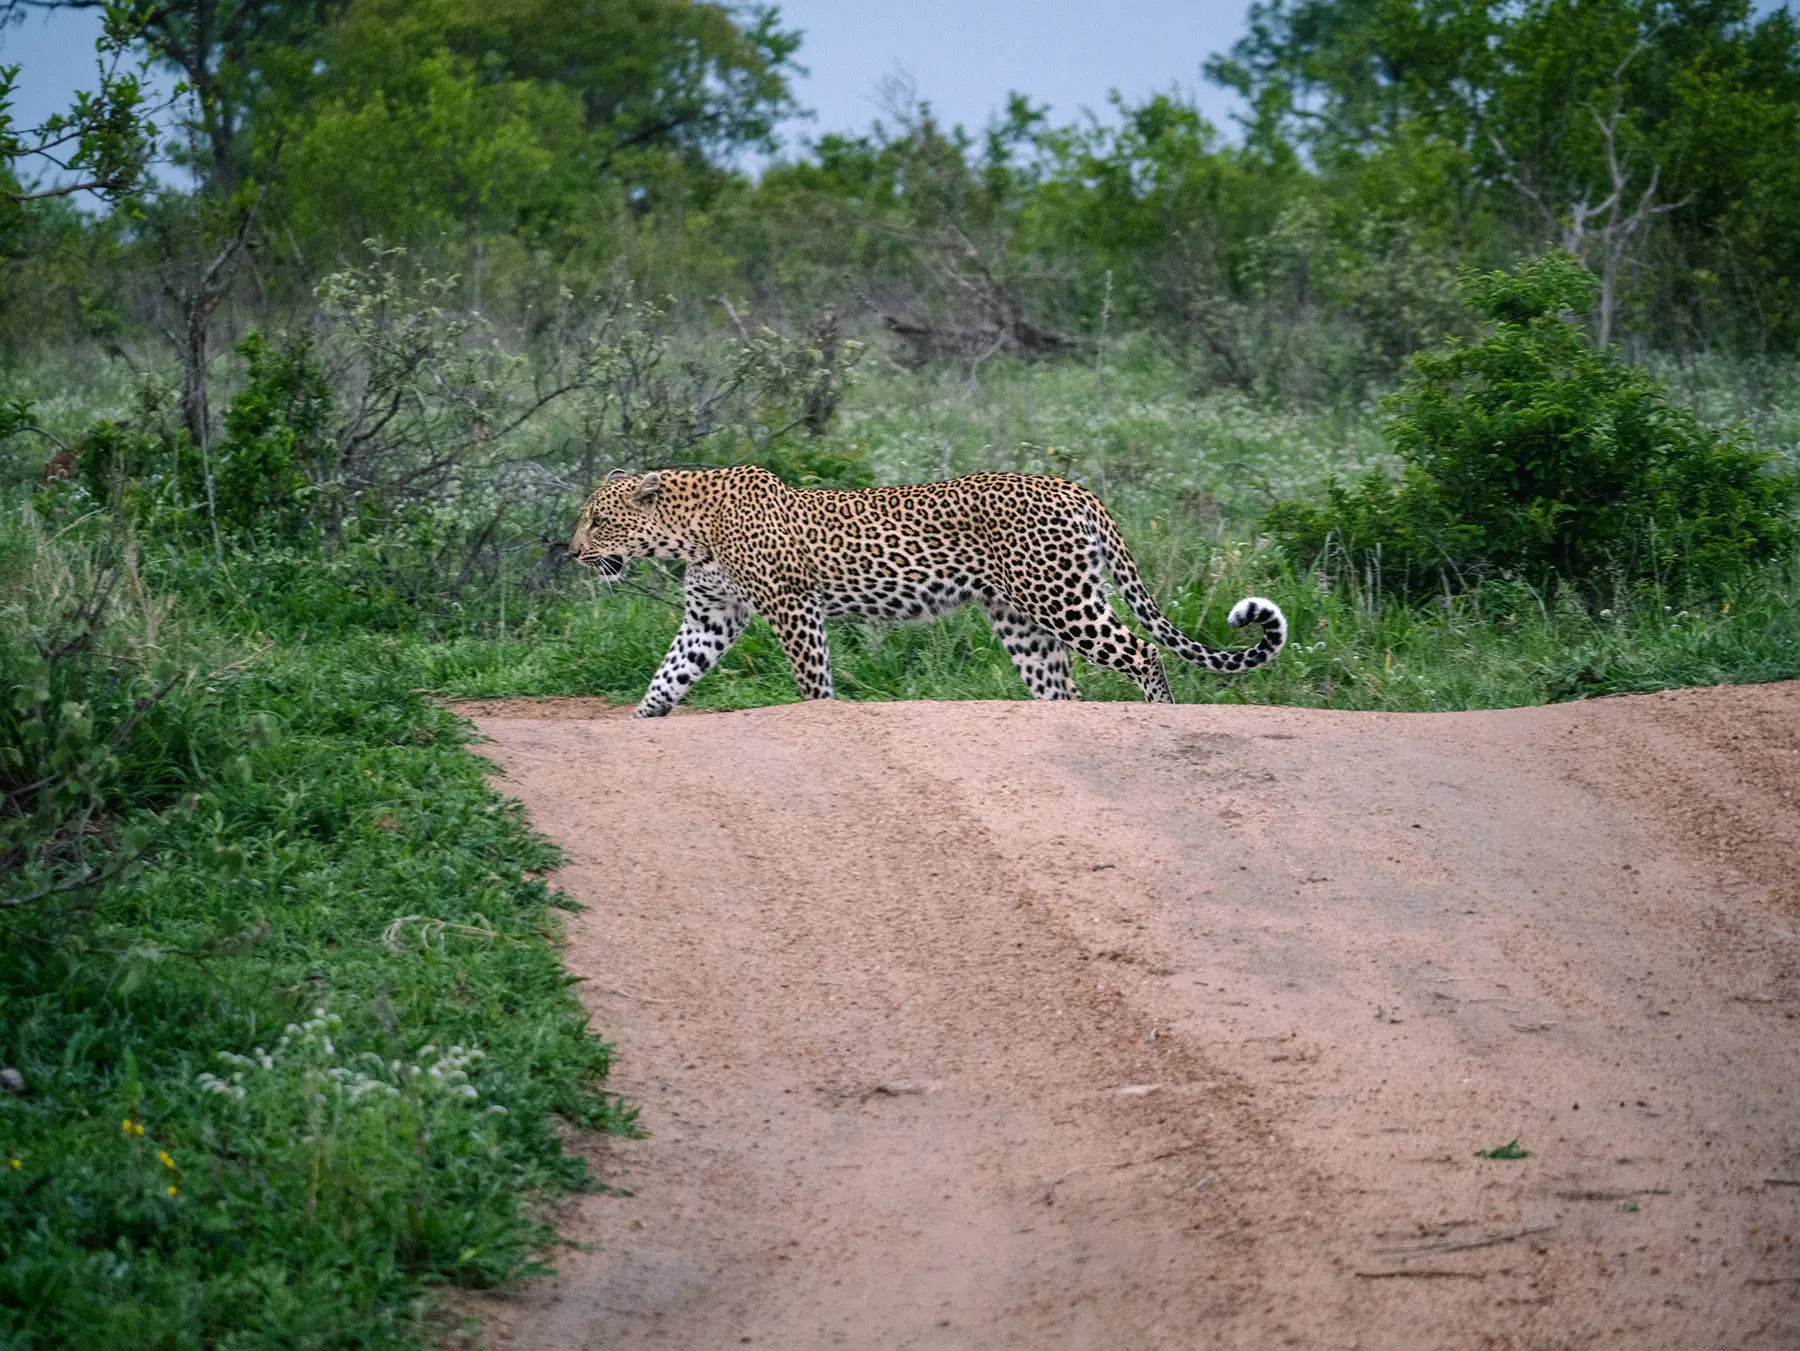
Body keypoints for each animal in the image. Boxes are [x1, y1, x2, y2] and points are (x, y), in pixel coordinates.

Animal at [569, 465, 1286, 718]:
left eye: (597, 519)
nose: (573, 551)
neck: (688, 531)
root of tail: (1071, 485)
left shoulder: (792, 605)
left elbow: (812, 680)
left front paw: (819, 717)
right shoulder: (711, 615)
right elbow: (670, 671)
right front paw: (645, 716)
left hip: (1063, 596)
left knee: (1143, 651)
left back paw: (1162, 716)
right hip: (1021, 619)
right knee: (1064, 688)